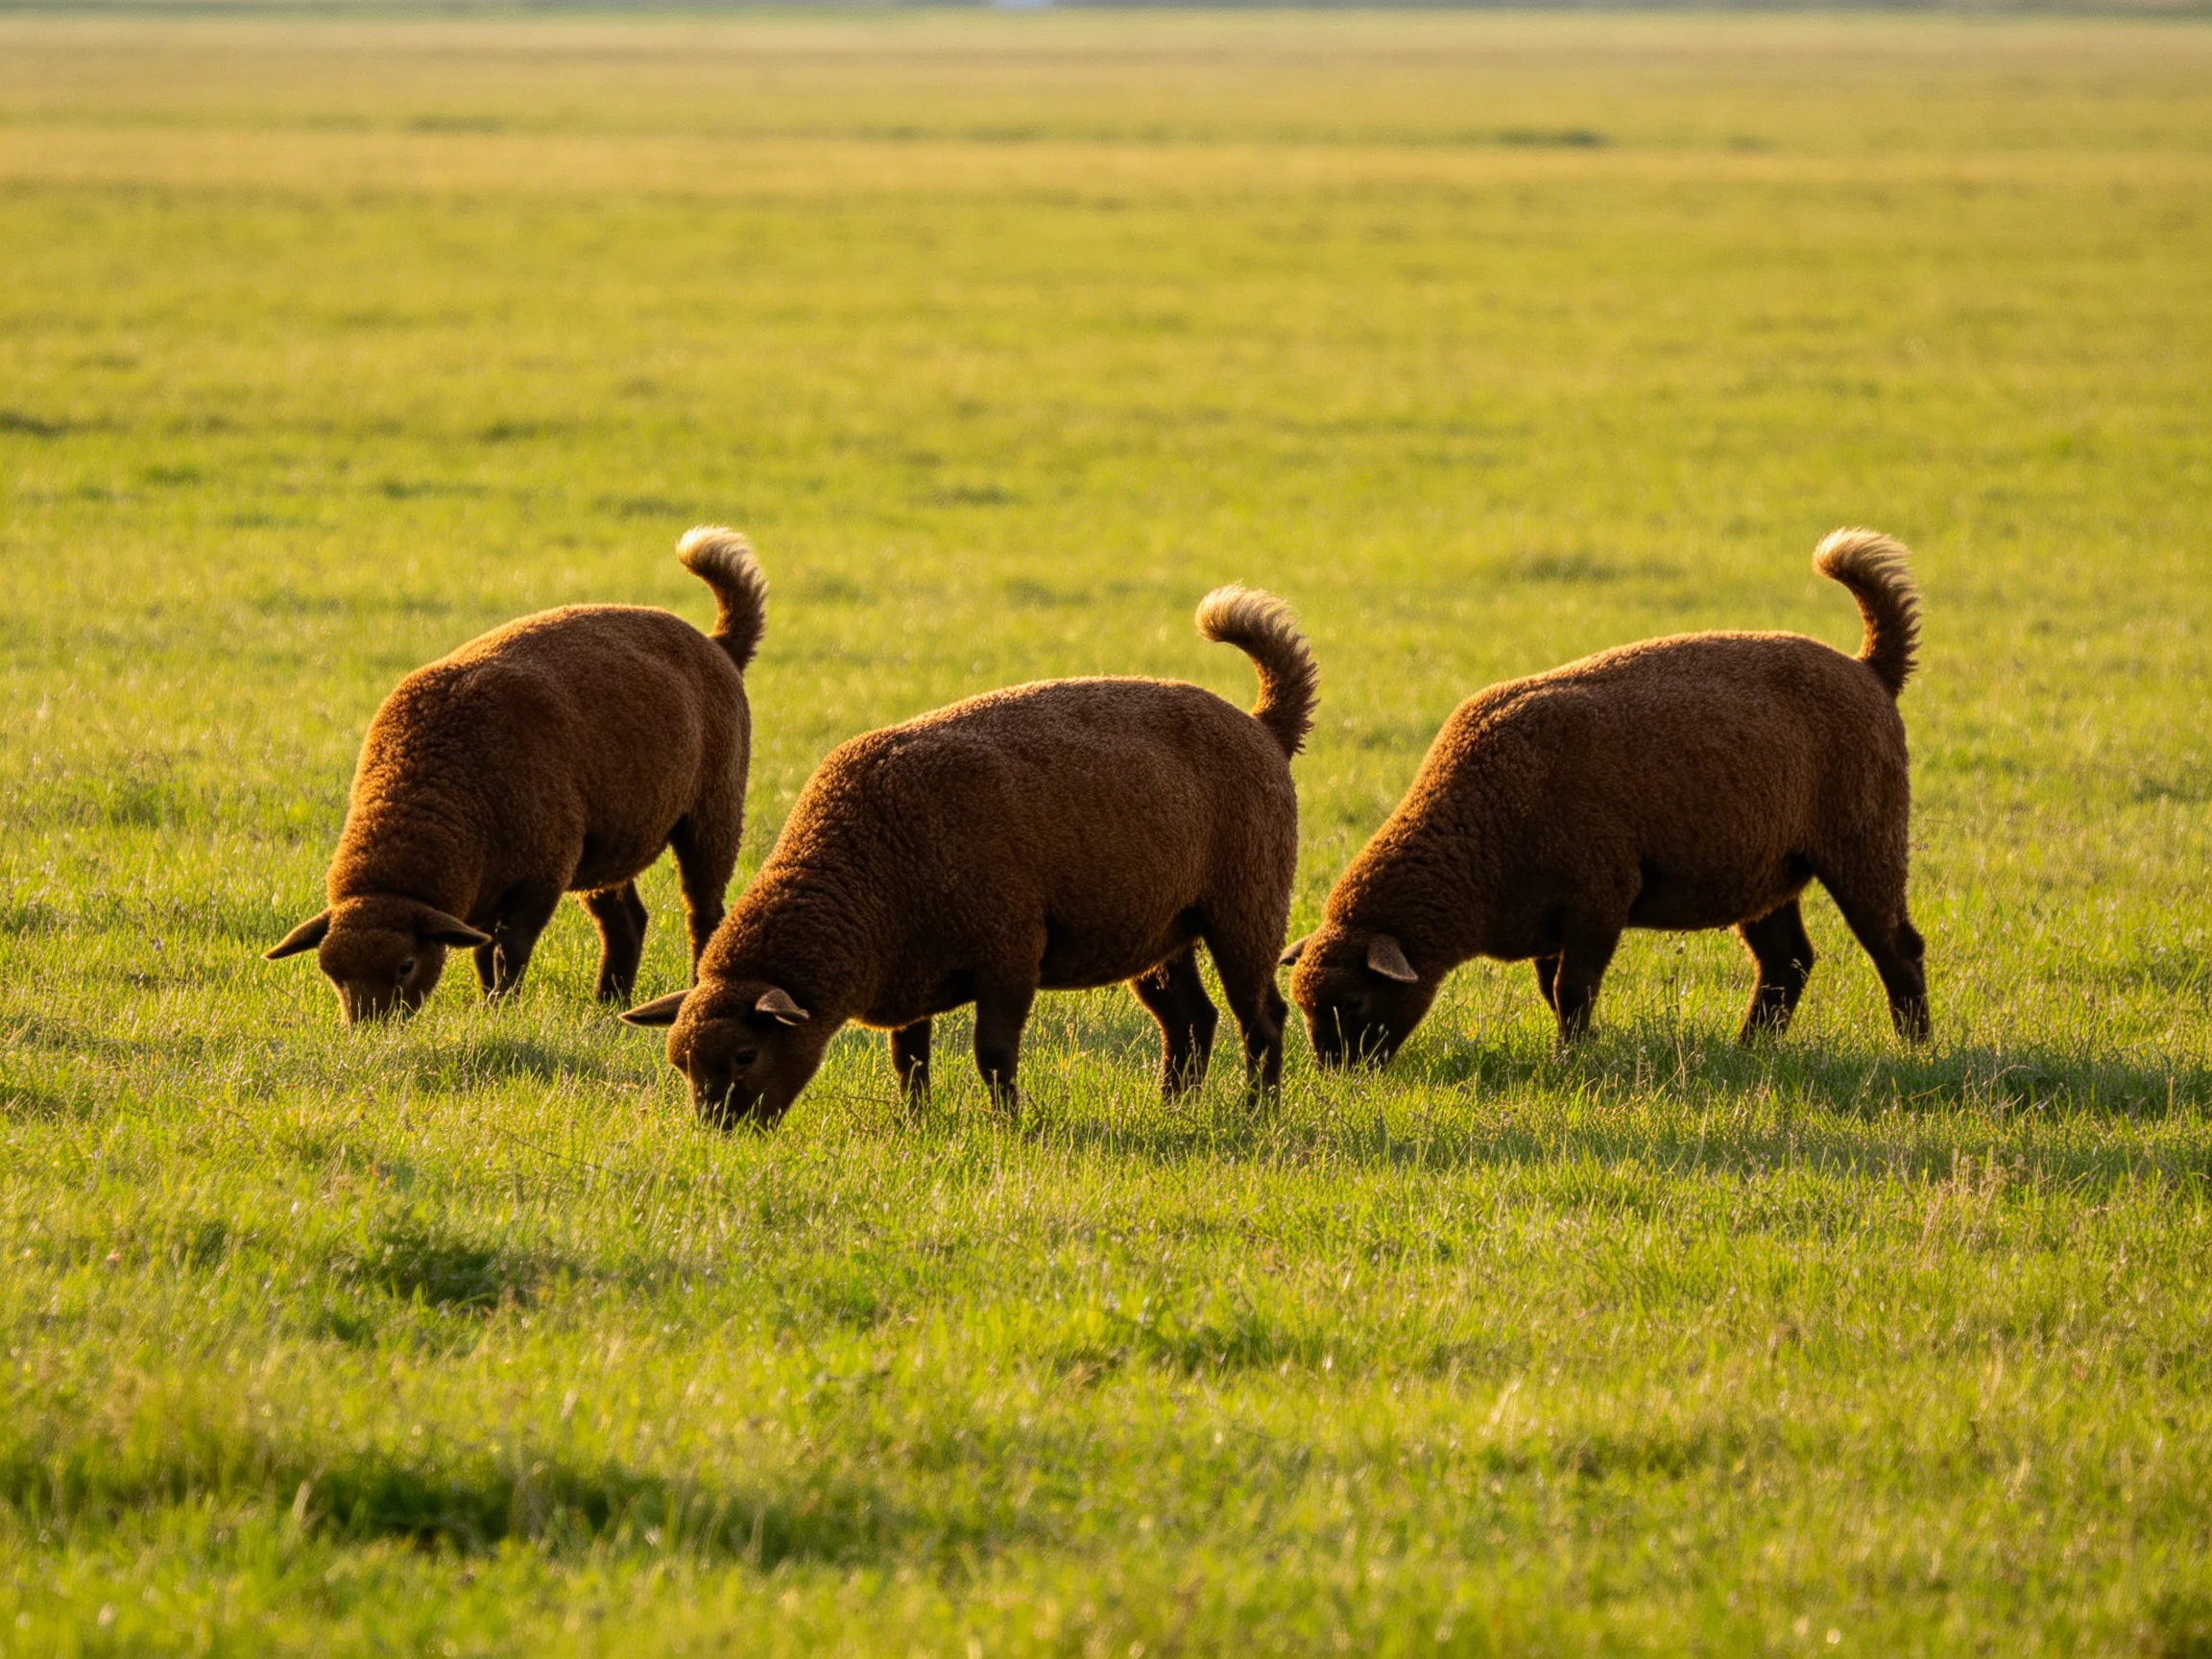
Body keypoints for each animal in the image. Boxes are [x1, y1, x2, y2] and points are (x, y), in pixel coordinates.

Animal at [266, 527, 766, 1023]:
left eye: (406, 965)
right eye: (332, 972)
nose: (368, 1030)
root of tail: (717, 644)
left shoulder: (541, 875)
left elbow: (511, 950)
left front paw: (501, 1007)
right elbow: (482, 954)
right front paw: (491, 1004)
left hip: (714, 810)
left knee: (703, 913)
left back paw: (687, 992)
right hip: (605, 846)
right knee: (626, 922)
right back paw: (609, 1004)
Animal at [620, 586, 1317, 1129]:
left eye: (745, 1056)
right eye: (681, 1063)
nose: (720, 1132)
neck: (865, 876)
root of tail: (1262, 726)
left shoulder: (1009, 954)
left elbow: (993, 1054)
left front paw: (1008, 1123)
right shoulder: (910, 976)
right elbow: (909, 1058)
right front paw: (916, 1122)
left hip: (1247, 903)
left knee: (1262, 1019)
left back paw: (1258, 1111)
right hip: (1158, 928)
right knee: (1191, 1023)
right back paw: (1175, 1108)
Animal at [1283, 529, 1931, 1064]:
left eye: (1355, 1002)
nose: (1337, 1072)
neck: (1477, 839)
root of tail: (1870, 668)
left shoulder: (1600, 895)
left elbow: (1572, 988)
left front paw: (1570, 1057)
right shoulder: (1547, 918)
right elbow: (1553, 989)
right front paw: (1582, 1046)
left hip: (1865, 836)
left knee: (1897, 947)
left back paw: (1915, 1046)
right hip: (1765, 868)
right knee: (1786, 962)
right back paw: (1750, 1048)